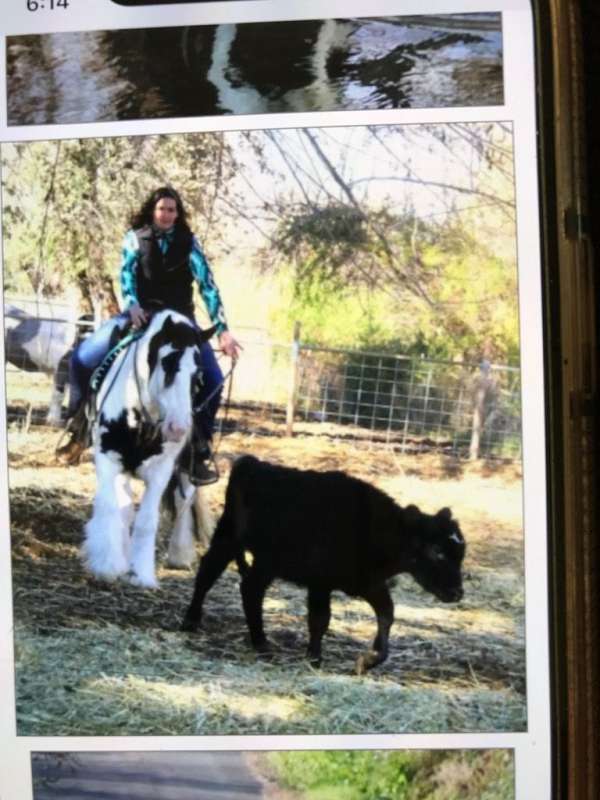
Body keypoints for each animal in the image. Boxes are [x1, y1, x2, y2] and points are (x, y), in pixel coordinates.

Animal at [83, 310, 214, 592]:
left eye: (198, 375)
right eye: (166, 362)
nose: (178, 429)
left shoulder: (161, 471)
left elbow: (146, 521)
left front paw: (141, 574)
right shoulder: (108, 460)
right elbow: (112, 507)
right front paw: (108, 565)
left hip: (186, 468)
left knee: (184, 499)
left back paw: (179, 554)